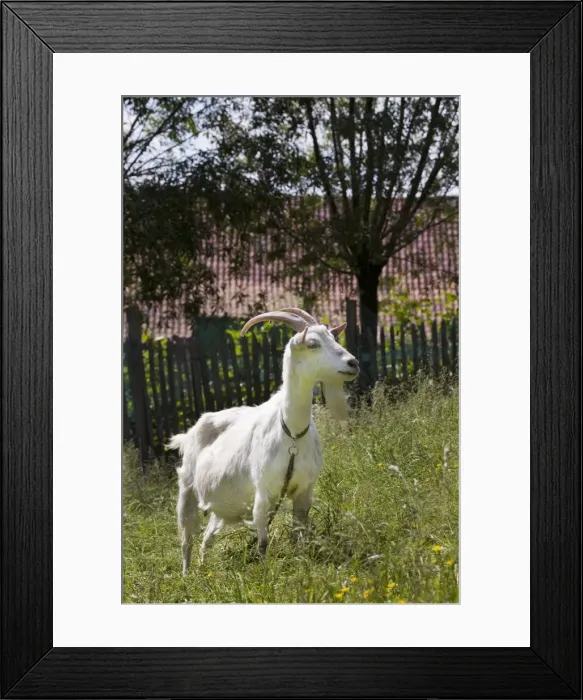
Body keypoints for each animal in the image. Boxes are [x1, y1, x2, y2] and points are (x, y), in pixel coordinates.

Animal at [168, 308, 359, 575]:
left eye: (333, 337)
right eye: (313, 344)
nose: (353, 363)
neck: (292, 433)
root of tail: (189, 433)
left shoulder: (304, 490)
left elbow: (298, 535)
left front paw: (300, 565)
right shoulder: (263, 492)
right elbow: (263, 542)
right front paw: (265, 574)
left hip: (221, 505)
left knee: (207, 538)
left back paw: (205, 570)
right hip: (187, 490)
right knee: (186, 539)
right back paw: (188, 577)